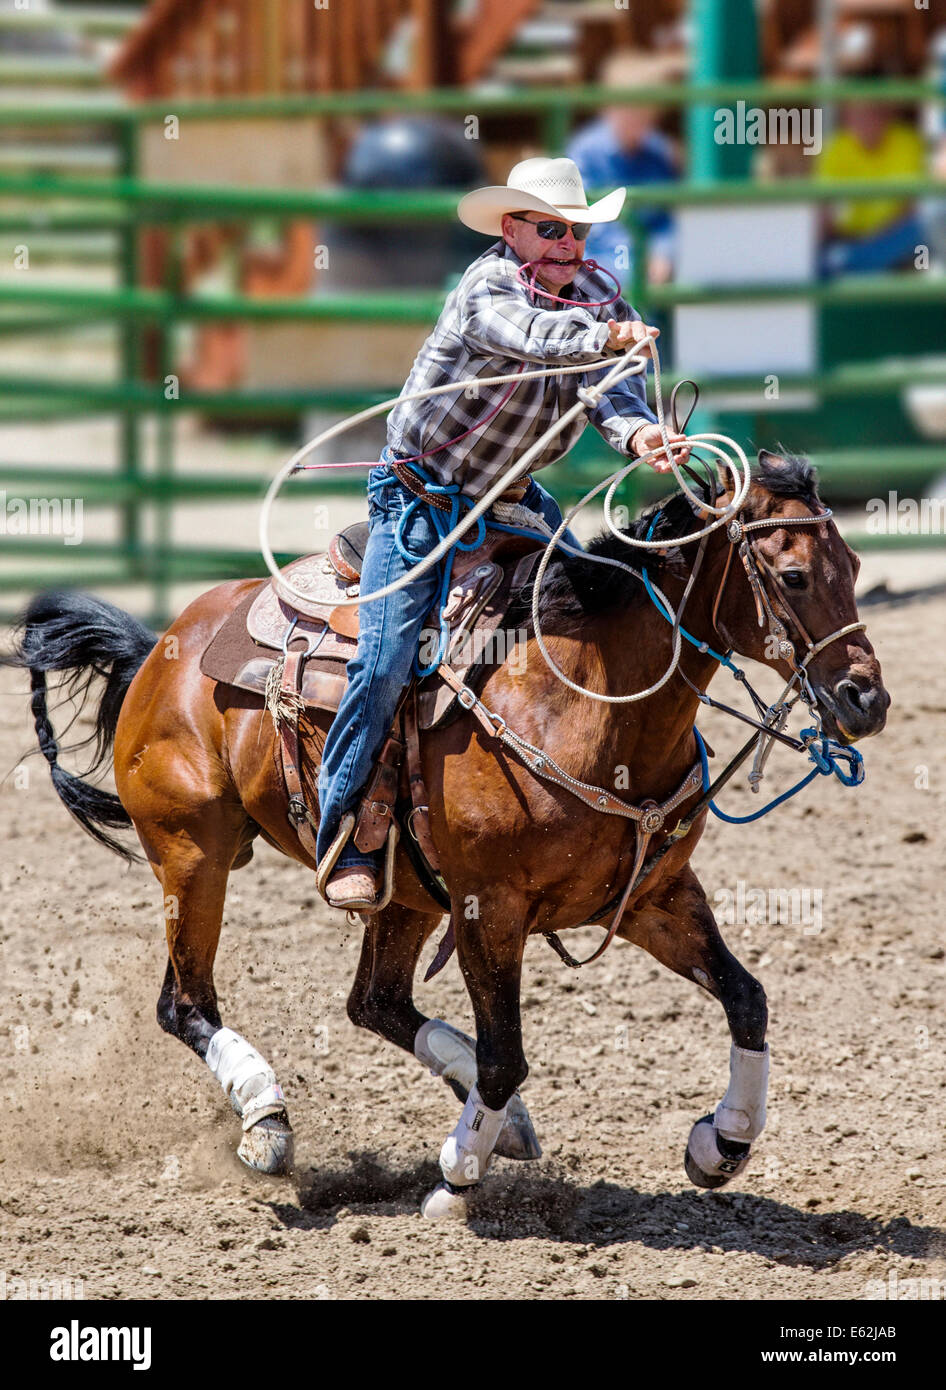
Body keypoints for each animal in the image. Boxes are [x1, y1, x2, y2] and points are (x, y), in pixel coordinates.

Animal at [4, 449, 889, 1218]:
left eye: (851, 568)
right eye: (794, 575)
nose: (866, 701)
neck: (585, 706)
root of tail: (162, 644)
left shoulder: (653, 896)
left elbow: (747, 998)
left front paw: (722, 1143)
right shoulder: (489, 909)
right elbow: (506, 1052)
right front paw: (454, 1181)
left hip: (400, 891)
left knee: (374, 1002)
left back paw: (509, 1125)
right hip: (194, 856)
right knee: (185, 1003)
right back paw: (268, 1122)